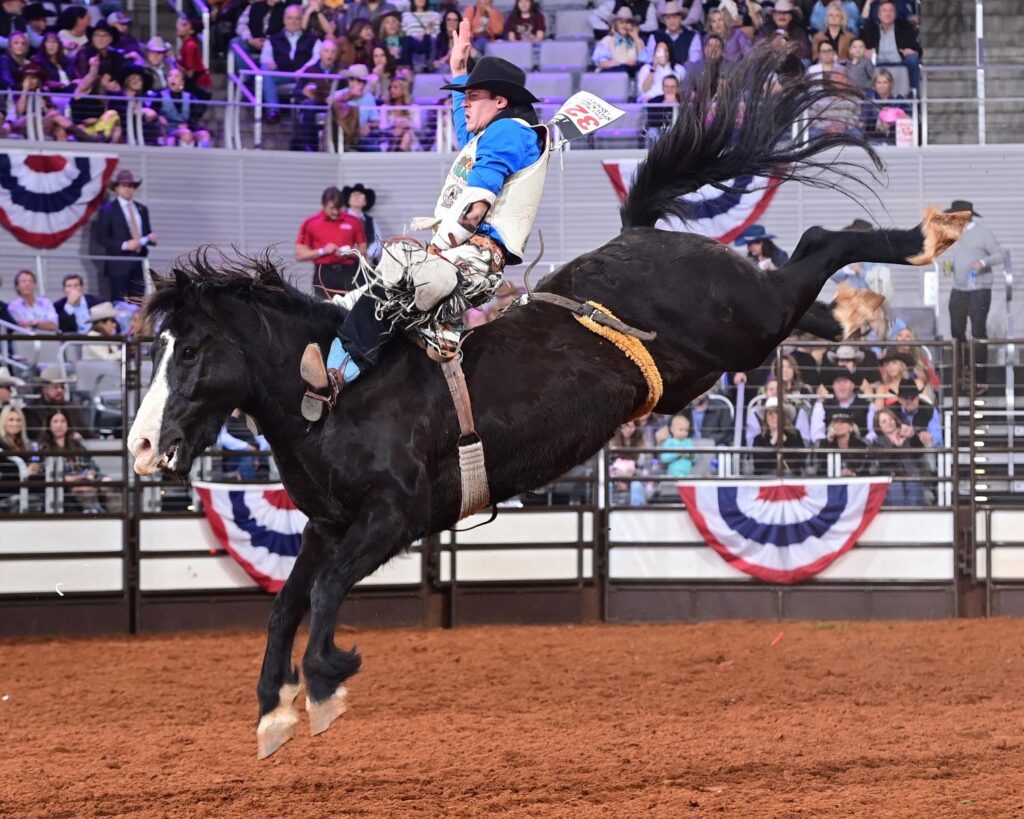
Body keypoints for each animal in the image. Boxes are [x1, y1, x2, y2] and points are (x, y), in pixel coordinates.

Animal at [128, 48, 966, 757]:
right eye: (161, 346)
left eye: (191, 349)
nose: (139, 446)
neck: (338, 397)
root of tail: (640, 234)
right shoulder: (329, 525)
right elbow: (286, 602)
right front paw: (274, 710)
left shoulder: (394, 515)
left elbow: (328, 592)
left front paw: (330, 678)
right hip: (734, 346)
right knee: (813, 267)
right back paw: (854, 311)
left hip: (747, 318)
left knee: (825, 237)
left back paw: (926, 237)